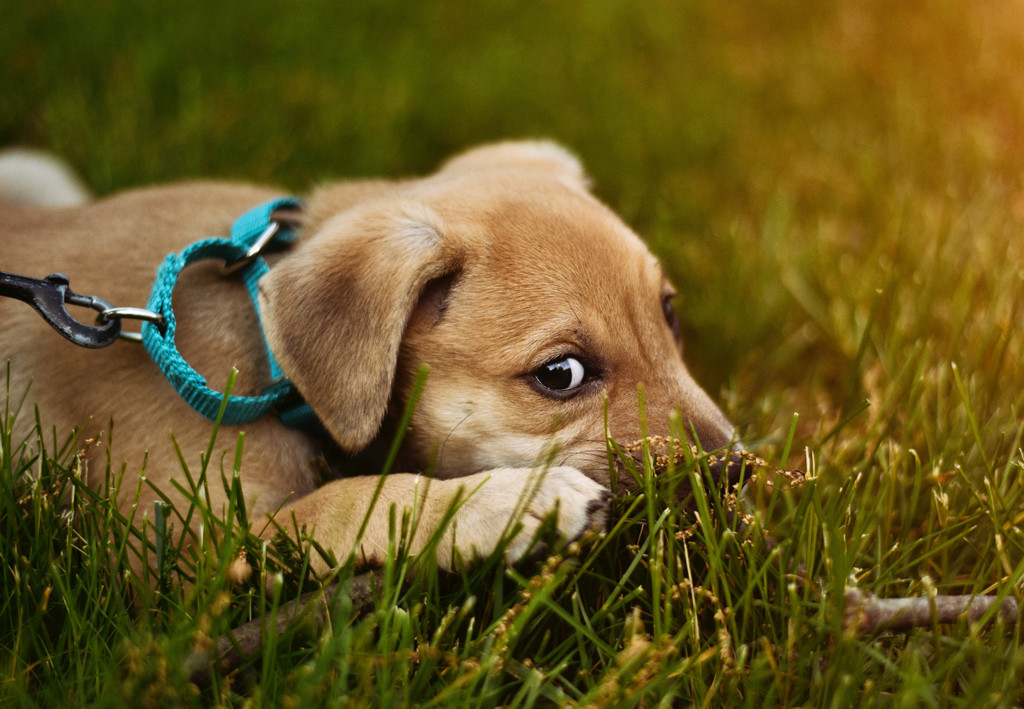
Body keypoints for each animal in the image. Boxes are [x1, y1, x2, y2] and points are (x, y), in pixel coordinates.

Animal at [0, 142, 737, 577]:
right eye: (562, 375)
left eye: (669, 312)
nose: (733, 473)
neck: (269, 361)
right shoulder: (179, 549)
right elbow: (349, 501)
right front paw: (508, 502)